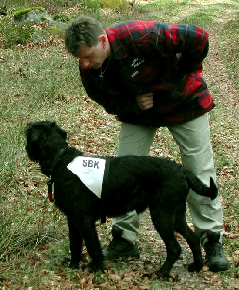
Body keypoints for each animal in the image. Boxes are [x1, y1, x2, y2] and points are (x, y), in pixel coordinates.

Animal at [25, 120, 218, 278]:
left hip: (161, 215)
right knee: (193, 238)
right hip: (176, 215)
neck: (61, 160)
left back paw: (162, 273)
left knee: (174, 248)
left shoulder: (84, 220)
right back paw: (196, 266)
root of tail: (182, 170)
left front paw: (98, 269)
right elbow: (76, 246)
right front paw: (73, 266)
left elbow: (93, 247)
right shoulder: (73, 220)